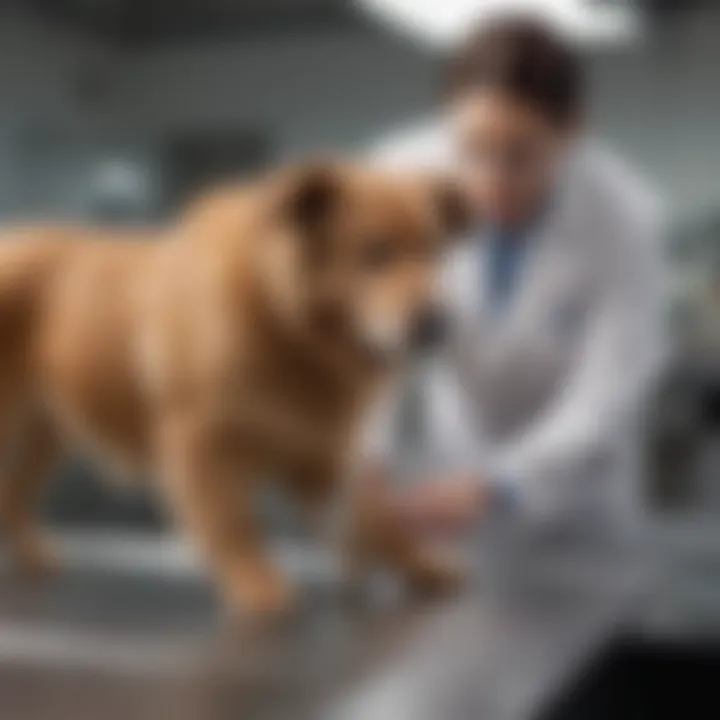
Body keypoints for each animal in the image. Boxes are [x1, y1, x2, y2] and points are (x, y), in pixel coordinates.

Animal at [0, 163, 466, 620]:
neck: (285, 330)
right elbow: (234, 524)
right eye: (374, 252)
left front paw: (420, 565)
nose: (437, 323)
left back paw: (33, 554)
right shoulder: (201, 446)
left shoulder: (317, 457)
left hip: (44, 434)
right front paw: (257, 587)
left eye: (434, 252)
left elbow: (376, 520)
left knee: (14, 493)